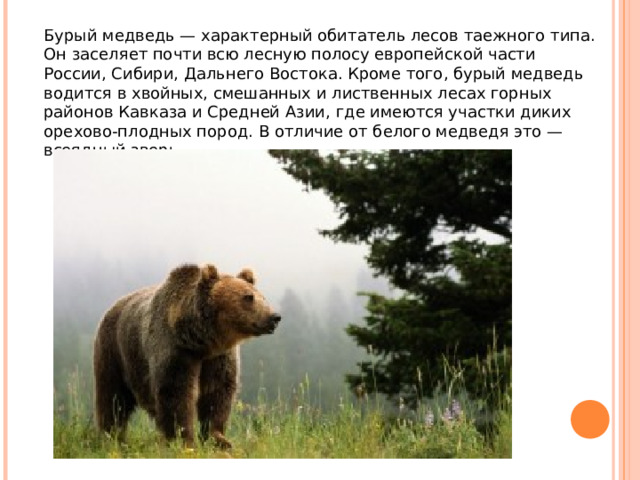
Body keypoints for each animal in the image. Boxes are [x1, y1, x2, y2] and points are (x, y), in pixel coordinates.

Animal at [93, 263, 281, 449]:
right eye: (248, 297)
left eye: (262, 297)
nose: (274, 317)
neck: (199, 342)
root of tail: (112, 306)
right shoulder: (175, 351)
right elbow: (176, 393)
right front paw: (183, 439)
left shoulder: (218, 358)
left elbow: (217, 392)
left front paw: (219, 439)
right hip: (114, 352)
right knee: (113, 399)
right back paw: (111, 437)